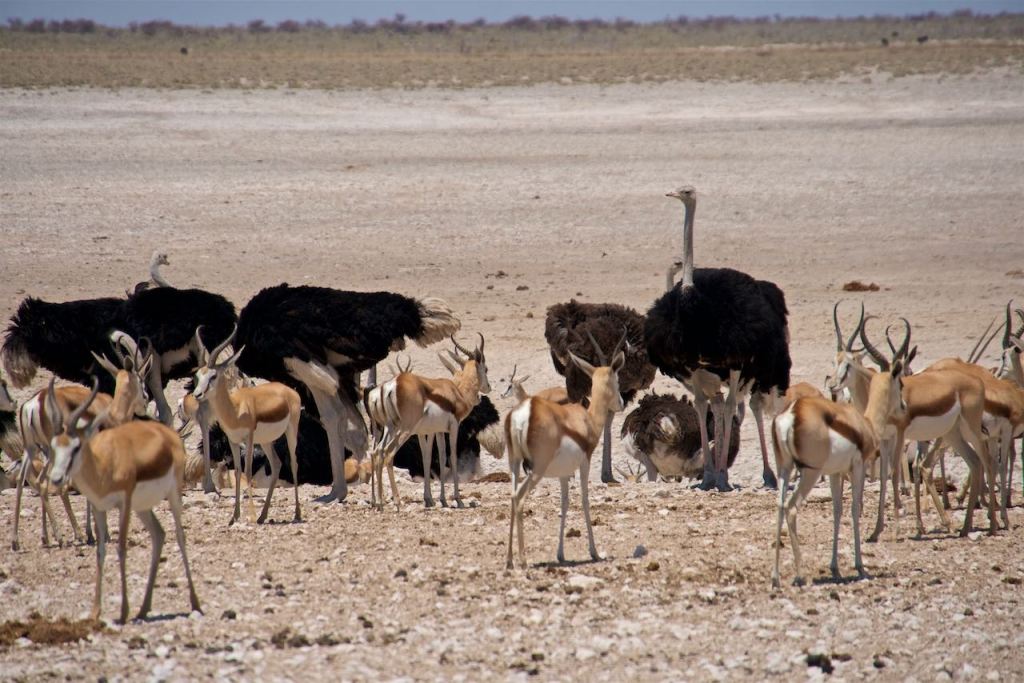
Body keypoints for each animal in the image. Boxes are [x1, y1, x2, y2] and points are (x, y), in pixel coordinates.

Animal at [47, 380, 202, 624]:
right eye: (53, 446)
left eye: (76, 446)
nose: (56, 478)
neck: (105, 466)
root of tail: (169, 436)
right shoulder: (99, 507)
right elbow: (100, 551)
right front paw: (96, 611)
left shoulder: (125, 504)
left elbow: (121, 547)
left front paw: (122, 611)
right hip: (143, 508)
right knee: (159, 535)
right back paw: (144, 609)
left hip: (171, 497)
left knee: (179, 536)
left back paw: (194, 604)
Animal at [190, 327, 302, 525]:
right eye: (197, 376)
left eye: (213, 375)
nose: (197, 394)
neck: (235, 409)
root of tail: (288, 391)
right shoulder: (233, 441)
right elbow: (237, 471)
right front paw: (234, 517)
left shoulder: (248, 438)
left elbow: (248, 471)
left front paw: (249, 516)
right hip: (265, 441)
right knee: (277, 465)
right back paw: (263, 516)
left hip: (291, 431)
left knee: (294, 463)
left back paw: (296, 514)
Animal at [364, 334, 491, 510]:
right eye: (486, 369)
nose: (488, 388)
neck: (456, 394)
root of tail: (392, 385)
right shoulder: (453, 427)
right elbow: (451, 458)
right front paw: (458, 500)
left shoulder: (435, 431)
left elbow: (434, 457)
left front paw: (438, 500)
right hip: (404, 430)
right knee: (388, 454)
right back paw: (394, 502)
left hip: (389, 428)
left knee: (377, 452)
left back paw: (377, 502)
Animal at [505, 334, 626, 569]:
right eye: (617, 379)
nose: (622, 403)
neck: (587, 420)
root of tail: (525, 410)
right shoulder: (585, 463)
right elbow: (585, 500)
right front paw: (594, 552)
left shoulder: (563, 473)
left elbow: (565, 503)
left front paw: (560, 554)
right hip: (537, 470)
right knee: (520, 499)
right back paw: (523, 561)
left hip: (514, 464)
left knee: (512, 497)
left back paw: (509, 561)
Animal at [771, 345, 906, 588]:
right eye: (900, 384)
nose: (904, 407)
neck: (866, 423)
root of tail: (792, 414)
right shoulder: (858, 468)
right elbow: (853, 509)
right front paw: (860, 566)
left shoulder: (834, 474)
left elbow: (837, 510)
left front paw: (835, 567)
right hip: (810, 473)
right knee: (791, 507)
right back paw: (799, 575)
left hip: (784, 469)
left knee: (779, 506)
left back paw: (776, 577)